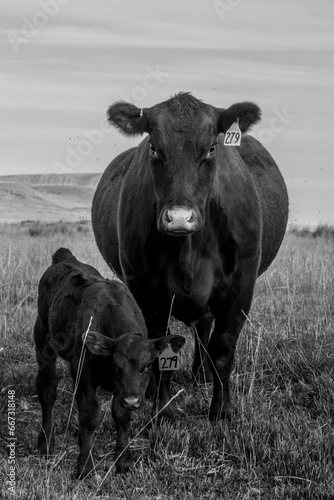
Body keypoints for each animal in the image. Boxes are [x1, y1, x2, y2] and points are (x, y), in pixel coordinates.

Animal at [34, 248, 185, 478]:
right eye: (116, 366)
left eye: (147, 366)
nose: (133, 401)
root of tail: (65, 258)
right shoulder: (83, 371)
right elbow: (90, 415)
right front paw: (85, 465)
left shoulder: (123, 390)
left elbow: (121, 415)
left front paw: (123, 460)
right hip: (42, 339)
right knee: (47, 391)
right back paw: (46, 443)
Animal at [92, 93, 290, 422]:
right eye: (154, 147)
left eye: (211, 148)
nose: (179, 218)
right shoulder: (144, 289)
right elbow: (158, 350)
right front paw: (161, 408)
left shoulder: (241, 286)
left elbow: (222, 350)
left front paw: (222, 411)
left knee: (204, 327)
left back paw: (203, 375)